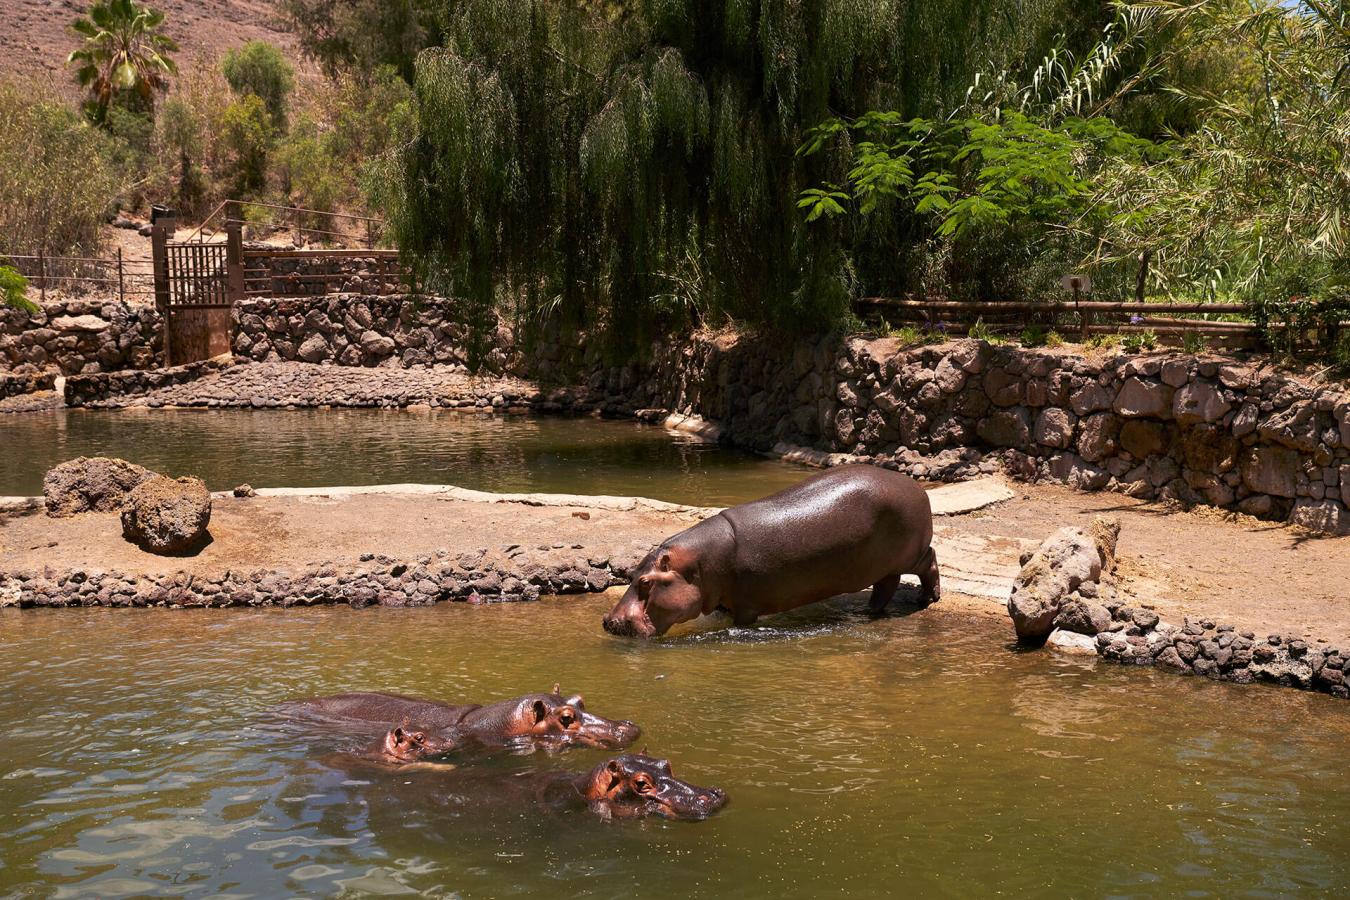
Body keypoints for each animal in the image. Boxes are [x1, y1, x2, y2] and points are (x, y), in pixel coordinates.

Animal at [604, 464, 939, 639]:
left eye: (645, 582)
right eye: (631, 574)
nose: (608, 621)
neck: (699, 566)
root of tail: (916, 487)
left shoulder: (746, 606)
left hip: (912, 554)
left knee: (930, 562)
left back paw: (927, 599)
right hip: (884, 564)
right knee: (887, 585)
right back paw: (869, 611)